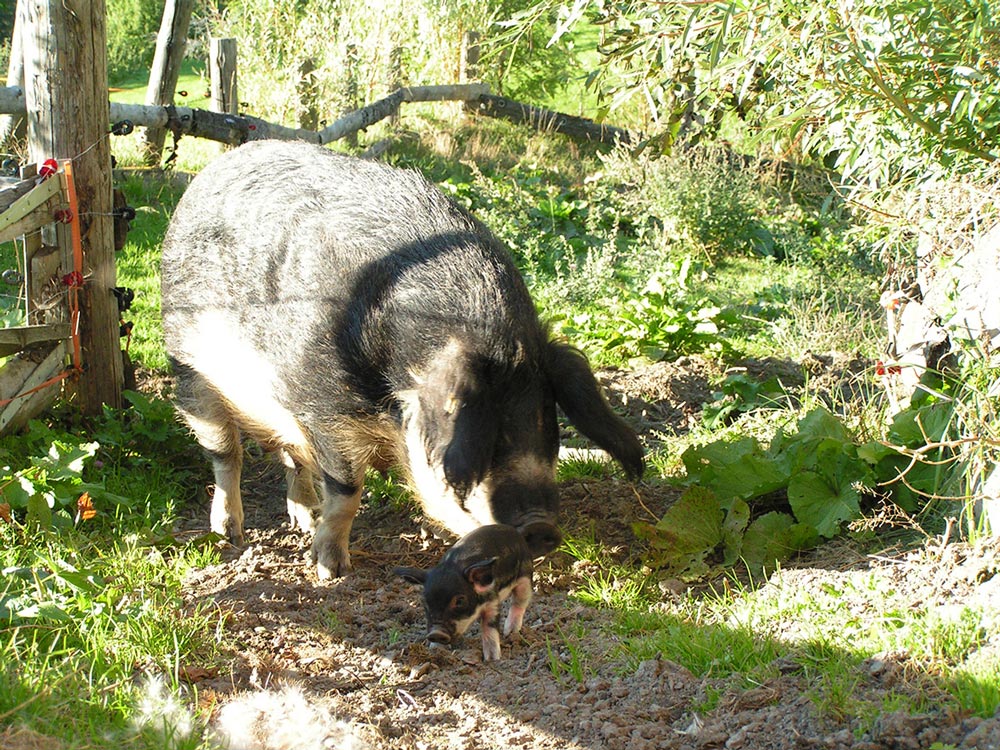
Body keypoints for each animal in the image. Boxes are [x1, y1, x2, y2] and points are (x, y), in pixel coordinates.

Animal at [160, 141, 644, 580]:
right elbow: (347, 491)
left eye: (547, 422)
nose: (542, 527)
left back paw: (303, 520)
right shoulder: (322, 404)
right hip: (189, 367)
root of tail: (208, 172)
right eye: (490, 429)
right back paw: (230, 534)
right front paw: (330, 571)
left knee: (292, 458)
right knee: (226, 453)